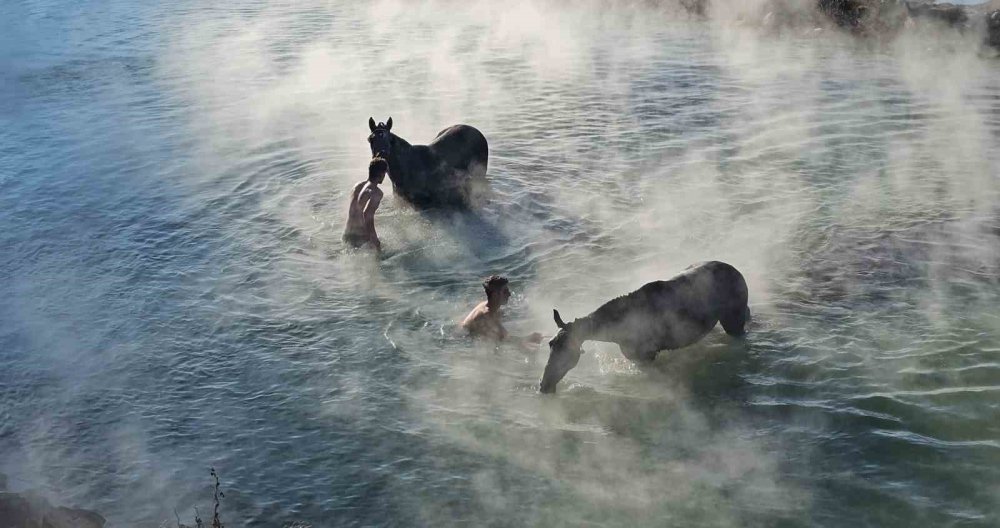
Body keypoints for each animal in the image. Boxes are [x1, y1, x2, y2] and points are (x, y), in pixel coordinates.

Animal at [540, 262, 752, 394]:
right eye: (550, 344)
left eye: (568, 351)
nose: (544, 385)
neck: (616, 330)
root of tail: (738, 272)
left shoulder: (646, 356)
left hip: (734, 323)